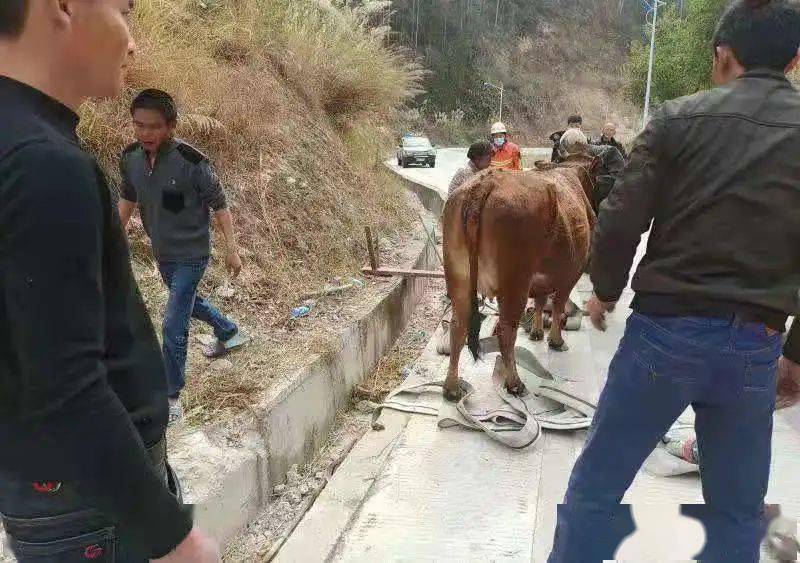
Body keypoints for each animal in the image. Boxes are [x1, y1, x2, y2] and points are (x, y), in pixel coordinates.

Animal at [440, 154, 596, 400]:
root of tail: (486, 182)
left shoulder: (542, 279)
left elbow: (541, 301)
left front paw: (536, 332)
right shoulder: (573, 272)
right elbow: (558, 305)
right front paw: (555, 340)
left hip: (459, 278)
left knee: (458, 325)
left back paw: (452, 387)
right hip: (515, 283)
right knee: (506, 330)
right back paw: (514, 383)